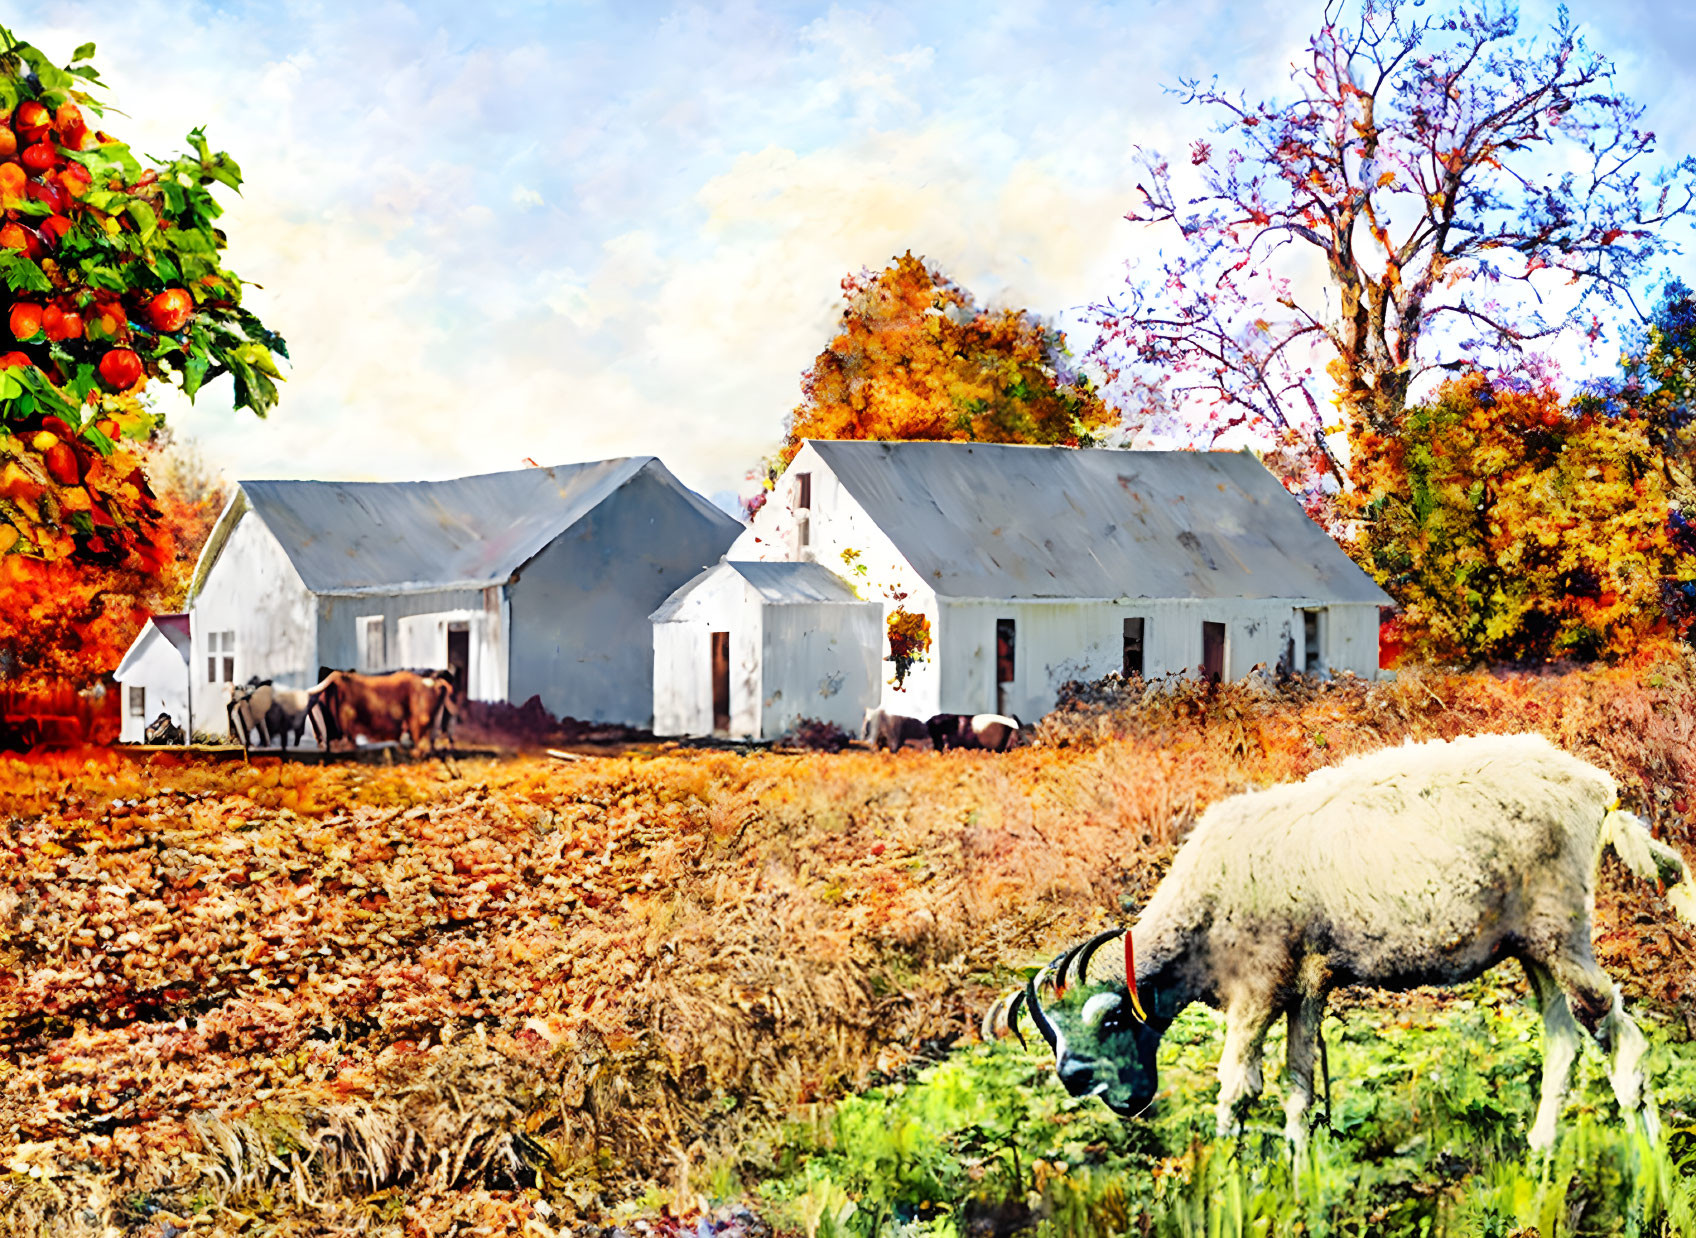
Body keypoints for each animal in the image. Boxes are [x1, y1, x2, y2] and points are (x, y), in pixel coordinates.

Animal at [983, 732, 1696, 1146]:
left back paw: (1651, 1169)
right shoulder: (1306, 983)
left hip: (1562, 928)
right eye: (1054, 1038)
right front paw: (1300, 1177)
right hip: (1534, 942)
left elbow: (1237, 1091)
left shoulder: (1259, 988)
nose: (1075, 1081)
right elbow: (1299, 1088)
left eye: (1106, 1025)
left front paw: (1225, 1181)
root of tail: (1597, 788)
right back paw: (1540, 1157)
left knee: (1619, 1035)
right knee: (1564, 1043)